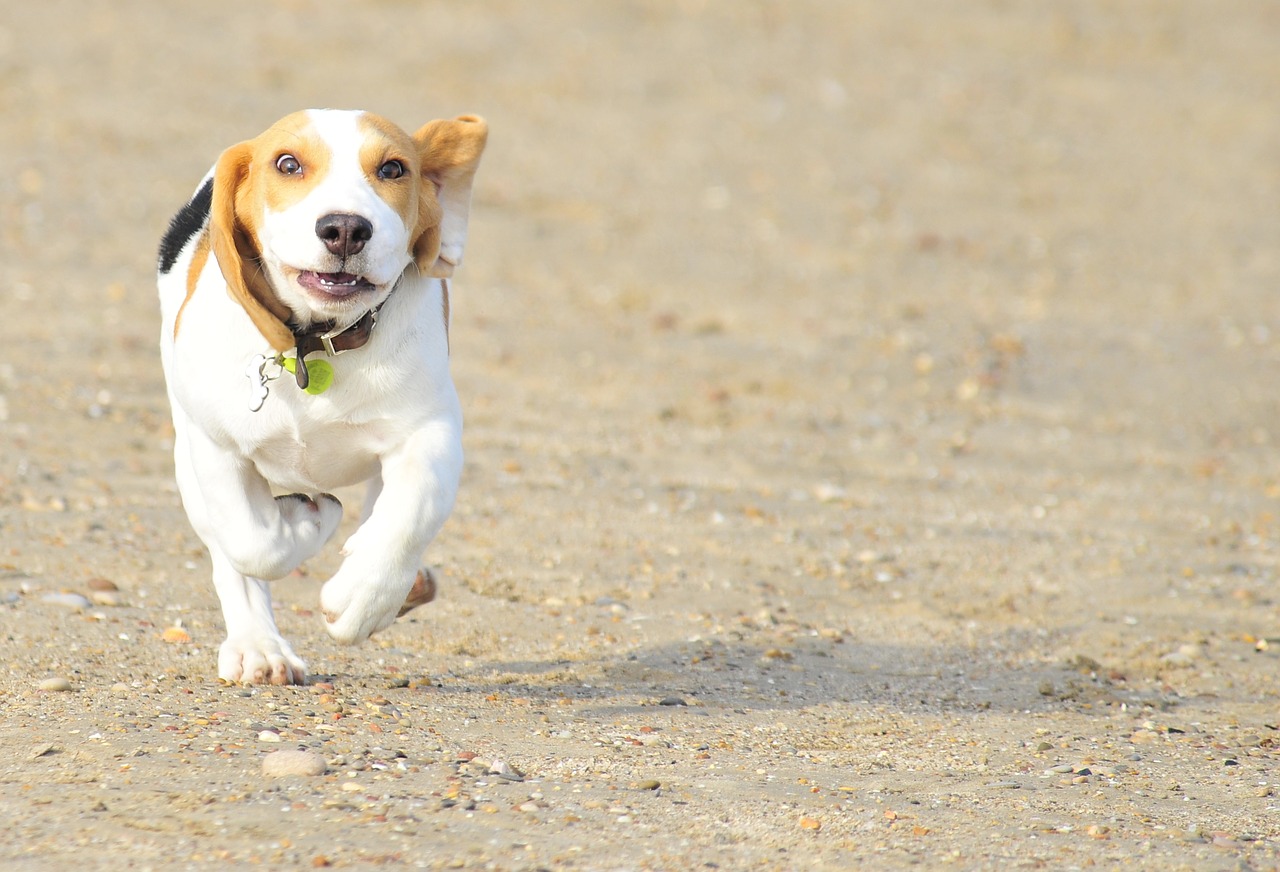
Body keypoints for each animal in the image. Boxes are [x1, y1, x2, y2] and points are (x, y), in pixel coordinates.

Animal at [154, 108, 483, 681]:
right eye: (288, 164)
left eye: (393, 168)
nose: (346, 228)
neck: (319, 344)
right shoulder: (215, 447)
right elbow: (253, 543)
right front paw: (310, 518)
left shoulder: (431, 432)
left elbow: (410, 513)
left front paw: (363, 597)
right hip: (186, 455)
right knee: (231, 560)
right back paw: (259, 648)